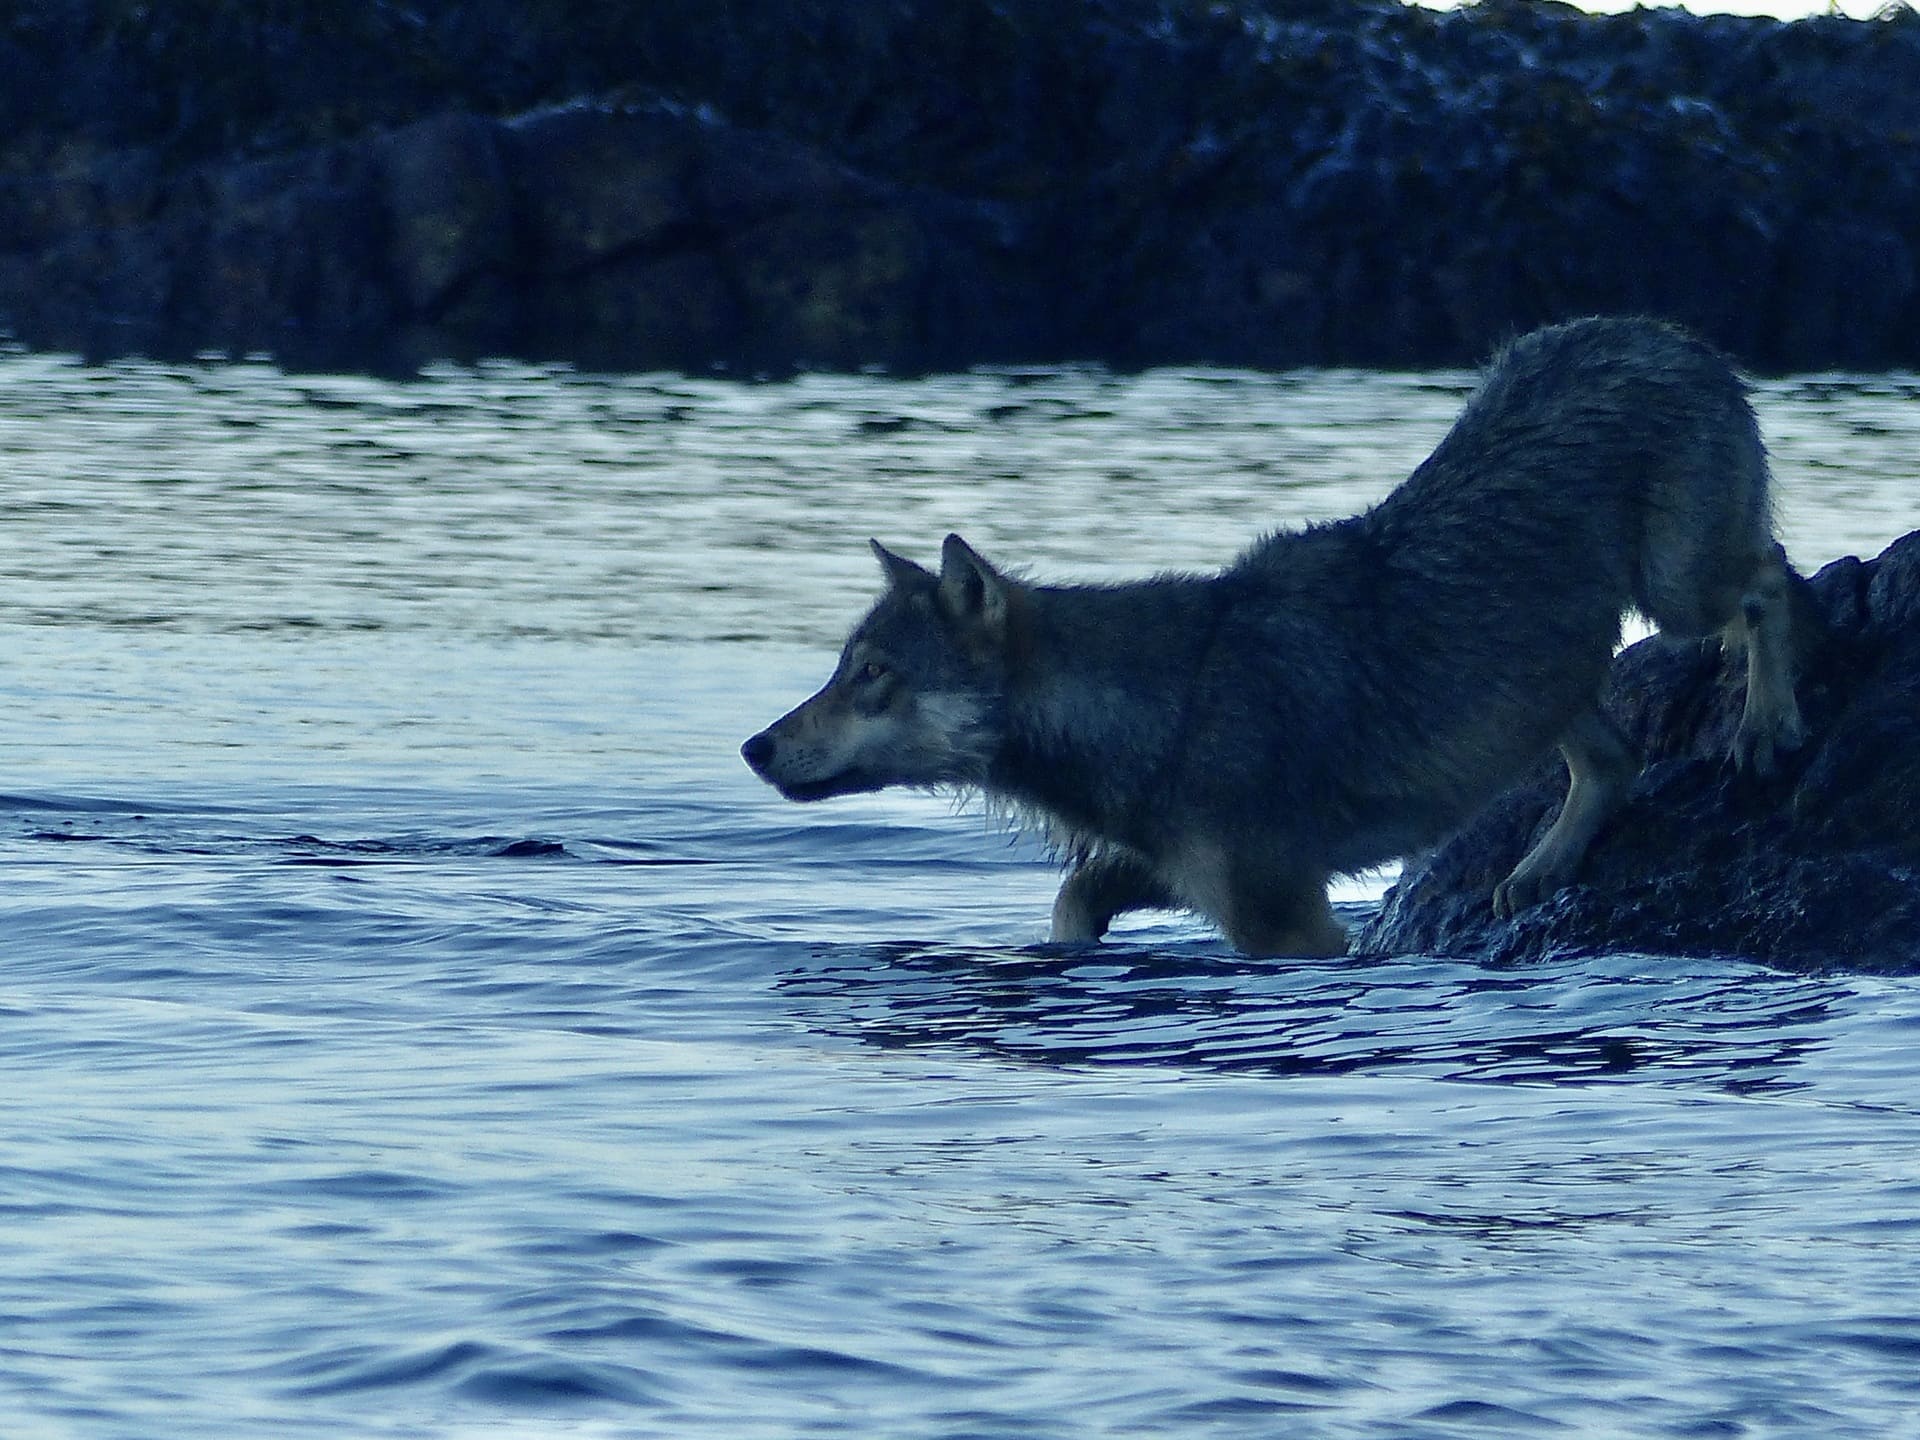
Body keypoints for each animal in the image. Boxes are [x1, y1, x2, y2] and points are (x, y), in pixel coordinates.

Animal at [741, 316, 1814, 956]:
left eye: (872, 673)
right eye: (842, 669)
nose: (753, 746)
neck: (1157, 707)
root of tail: (1670, 335)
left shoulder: (1286, 917)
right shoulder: (1191, 872)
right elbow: (1072, 900)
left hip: (1675, 591)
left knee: (1775, 579)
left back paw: (1765, 727)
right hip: (1554, 680)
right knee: (1616, 758)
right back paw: (1540, 868)